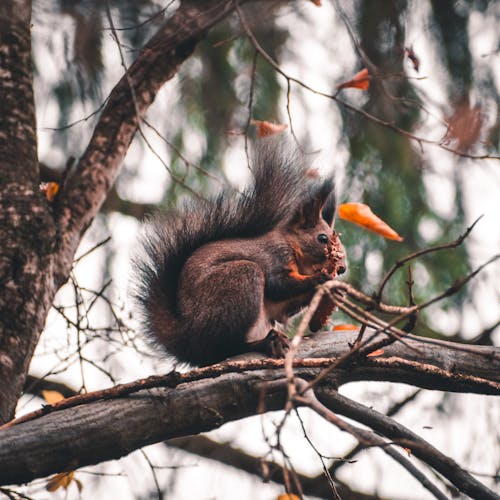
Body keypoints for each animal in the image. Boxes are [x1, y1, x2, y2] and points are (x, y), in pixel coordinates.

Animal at [131, 139, 346, 366]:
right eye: (322, 238)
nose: (342, 268)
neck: (293, 248)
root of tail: (185, 339)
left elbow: (285, 310)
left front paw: (336, 291)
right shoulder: (272, 256)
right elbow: (278, 284)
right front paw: (320, 279)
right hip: (238, 283)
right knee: (226, 348)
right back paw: (266, 342)